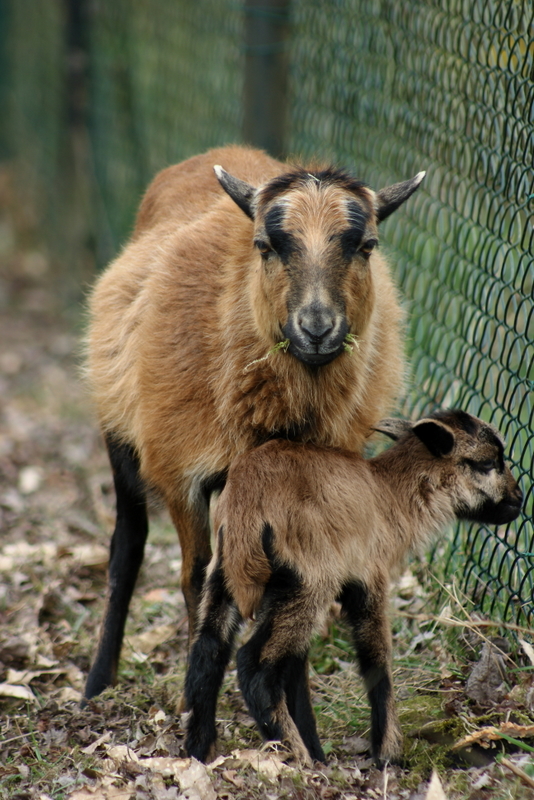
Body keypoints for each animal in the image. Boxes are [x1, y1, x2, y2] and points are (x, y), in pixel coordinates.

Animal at [85, 144, 428, 700]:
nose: (317, 329)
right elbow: (194, 579)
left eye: (367, 246)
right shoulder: (179, 476)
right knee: (127, 547)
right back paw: (97, 682)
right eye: (265, 246)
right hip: (120, 434)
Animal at [184, 410, 524, 764]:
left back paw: (200, 750)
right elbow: (376, 658)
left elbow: (298, 667)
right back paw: (295, 754)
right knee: (255, 665)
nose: (518, 499)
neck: (391, 497)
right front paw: (388, 753)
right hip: (307, 580)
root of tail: (247, 511)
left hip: (225, 574)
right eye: (487, 462)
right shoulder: (370, 578)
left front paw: (324, 748)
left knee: (208, 651)